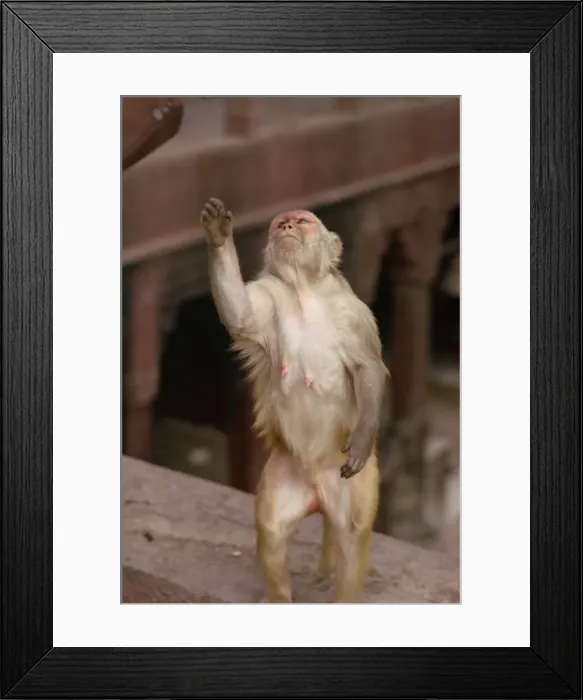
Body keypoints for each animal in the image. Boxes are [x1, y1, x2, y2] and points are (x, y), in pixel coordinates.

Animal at [200, 197, 389, 603]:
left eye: (301, 222)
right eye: (280, 224)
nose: (286, 228)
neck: (306, 292)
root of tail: (317, 488)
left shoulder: (356, 315)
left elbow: (368, 368)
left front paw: (362, 438)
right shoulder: (271, 297)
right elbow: (240, 315)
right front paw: (218, 234)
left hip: (350, 482)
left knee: (351, 536)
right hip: (285, 473)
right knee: (271, 529)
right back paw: (279, 596)